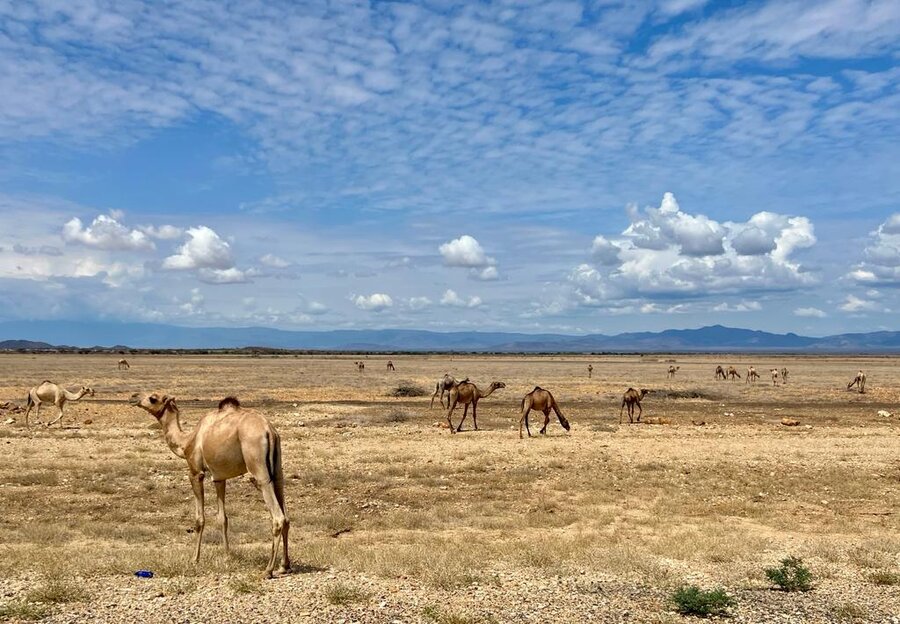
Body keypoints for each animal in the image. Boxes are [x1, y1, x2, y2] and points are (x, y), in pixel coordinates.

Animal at [130, 392, 290, 576]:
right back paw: (284, 565)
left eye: (152, 398)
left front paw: (194, 559)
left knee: (278, 517)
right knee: (286, 515)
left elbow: (200, 519)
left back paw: (268, 570)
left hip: (258, 467)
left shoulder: (195, 472)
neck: (186, 442)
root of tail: (269, 431)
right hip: (277, 469)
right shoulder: (219, 477)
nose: (134, 397)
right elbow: (222, 518)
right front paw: (227, 556)